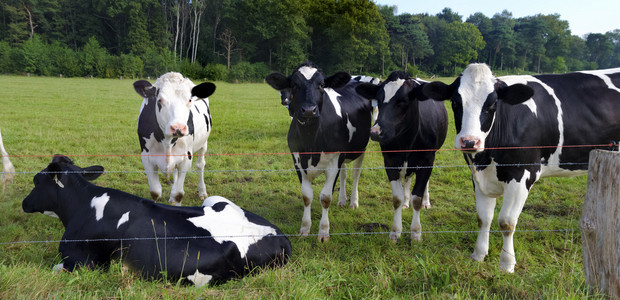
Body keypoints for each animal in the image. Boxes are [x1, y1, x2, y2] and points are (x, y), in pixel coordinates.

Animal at [22, 156, 294, 284]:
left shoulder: (81, 262)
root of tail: (280, 235)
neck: (84, 205)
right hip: (215, 199)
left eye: (36, 180)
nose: (24, 203)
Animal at [133, 71, 216, 205]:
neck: (166, 141)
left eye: (189, 100)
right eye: (159, 100)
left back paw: (202, 192)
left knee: (200, 165)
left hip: (204, 144)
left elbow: (178, 194)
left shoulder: (186, 158)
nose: (178, 128)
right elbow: (155, 192)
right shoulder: (146, 157)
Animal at [264, 61, 370, 241]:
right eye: (294, 85)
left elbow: (325, 198)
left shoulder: (334, 162)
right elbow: (307, 196)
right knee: (344, 174)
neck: (311, 142)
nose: (308, 110)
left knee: (356, 174)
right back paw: (342, 200)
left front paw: (323, 232)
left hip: (361, 149)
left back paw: (353, 202)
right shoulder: (298, 162)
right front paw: (305, 228)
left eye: (321, 85)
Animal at [356, 71, 448, 243]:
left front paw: (416, 233)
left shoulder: (426, 161)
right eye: (378, 100)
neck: (407, 140)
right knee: (407, 179)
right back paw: (406, 202)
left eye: (403, 101)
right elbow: (397, 198)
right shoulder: (390, 162)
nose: (375, 132)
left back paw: (426, 202)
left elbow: (417, 198)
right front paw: (395, 231)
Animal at [424, 63, 620, 274]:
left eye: (492, 105)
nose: (469, 141)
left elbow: (506, 222)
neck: (486, 159)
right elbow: (483, 218)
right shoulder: (478, 177)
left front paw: (506, 263)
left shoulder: (523, 175)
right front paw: (479, 255)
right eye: (455, 102)